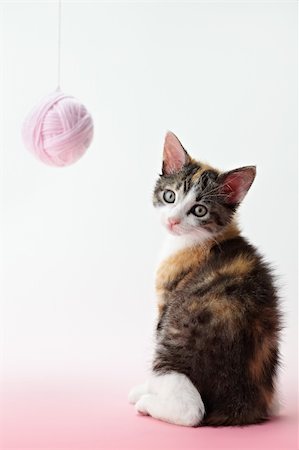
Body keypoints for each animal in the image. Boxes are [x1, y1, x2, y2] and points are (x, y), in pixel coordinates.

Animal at [129, 132, 282, 428]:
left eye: (199, 210)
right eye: (170, 196)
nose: (173, 221)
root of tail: (240, 407)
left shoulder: (166, 303)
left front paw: (143, 390)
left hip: (175, 340)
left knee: (191, 411)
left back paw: (147, 402)